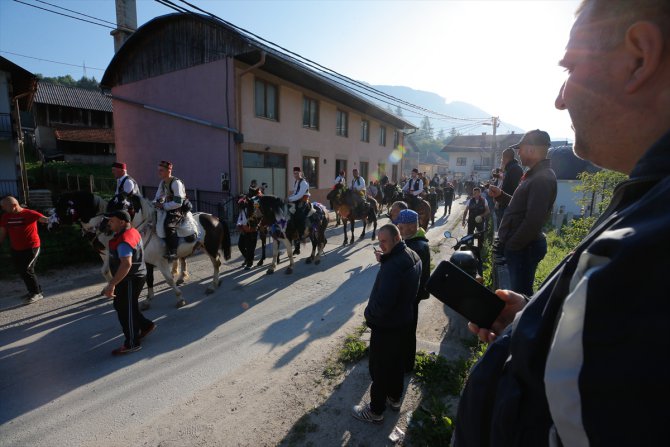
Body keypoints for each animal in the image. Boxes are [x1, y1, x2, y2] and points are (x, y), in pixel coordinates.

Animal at [51, 191, 232, 310]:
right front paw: (147, 300)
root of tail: (215, 218)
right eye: (109, 204)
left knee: (216, 263)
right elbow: (149, 279)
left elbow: (168, 280)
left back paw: (212, 285)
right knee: (210, 262)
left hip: (211, 248)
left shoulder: (159, 261)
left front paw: (180, 298)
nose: (51, 225)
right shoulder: (147, 262)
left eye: (121, 205)